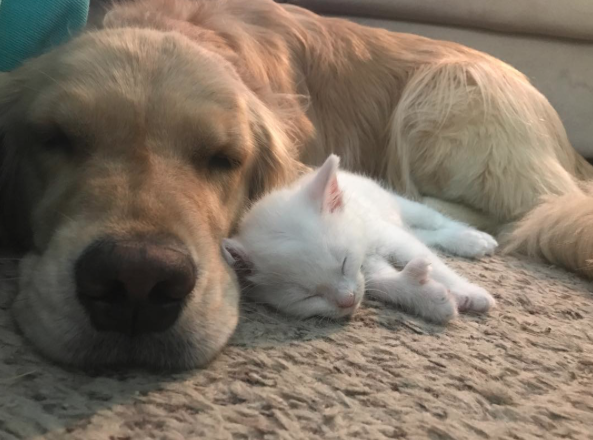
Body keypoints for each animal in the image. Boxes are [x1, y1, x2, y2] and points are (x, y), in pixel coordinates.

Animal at [222, 155, 494, 324]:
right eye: (308, 296)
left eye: (344, 262)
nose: (347, 301)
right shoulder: (369, 264)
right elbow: (384, 282)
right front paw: (430, 299)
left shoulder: (384, 237)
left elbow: (432, 262)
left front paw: (470, 292)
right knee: (423, 234)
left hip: (398, 206)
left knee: (434, 220)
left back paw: (472, 238)